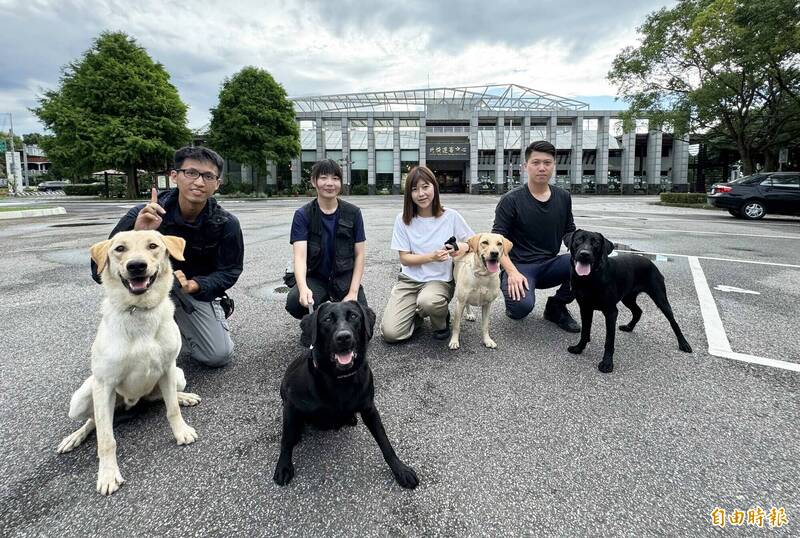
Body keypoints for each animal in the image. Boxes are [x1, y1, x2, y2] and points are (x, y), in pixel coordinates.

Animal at [58, 230, 200, 494]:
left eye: (153, 246)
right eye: (119, 249)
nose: (136, 266)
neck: (139, 310)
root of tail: (134, 402)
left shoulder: (167, 368)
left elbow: (172, 409)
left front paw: (181, 431)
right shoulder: (104, 384)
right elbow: (106, 439)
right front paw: (107, 474)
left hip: (178, 375)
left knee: (162, 397)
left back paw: (183, 397)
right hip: (81, 398)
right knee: (93, 421)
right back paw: (75, 437)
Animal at [274, 300, 418, 488]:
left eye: (354, 316)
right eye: (327, 319)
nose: (343, 337)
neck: (340, 379)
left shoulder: (369, 409)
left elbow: (385, 442)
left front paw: (400, 469)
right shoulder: (291, 403)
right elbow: (285, 440)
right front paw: (283, 466)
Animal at [564, 229, 692, 372]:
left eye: (596, 243)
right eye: (578, 240)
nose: (584, 254)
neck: (589, 278)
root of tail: (650, 262)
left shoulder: (611, 312)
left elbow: (609, 341)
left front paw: (607, 363)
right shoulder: (585, 307)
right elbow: (585, 332)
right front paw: (578, 348)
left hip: (660, 298)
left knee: (673, 321)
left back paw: (684, 343)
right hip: (628, 298)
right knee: (638, 311)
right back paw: (629, 327)